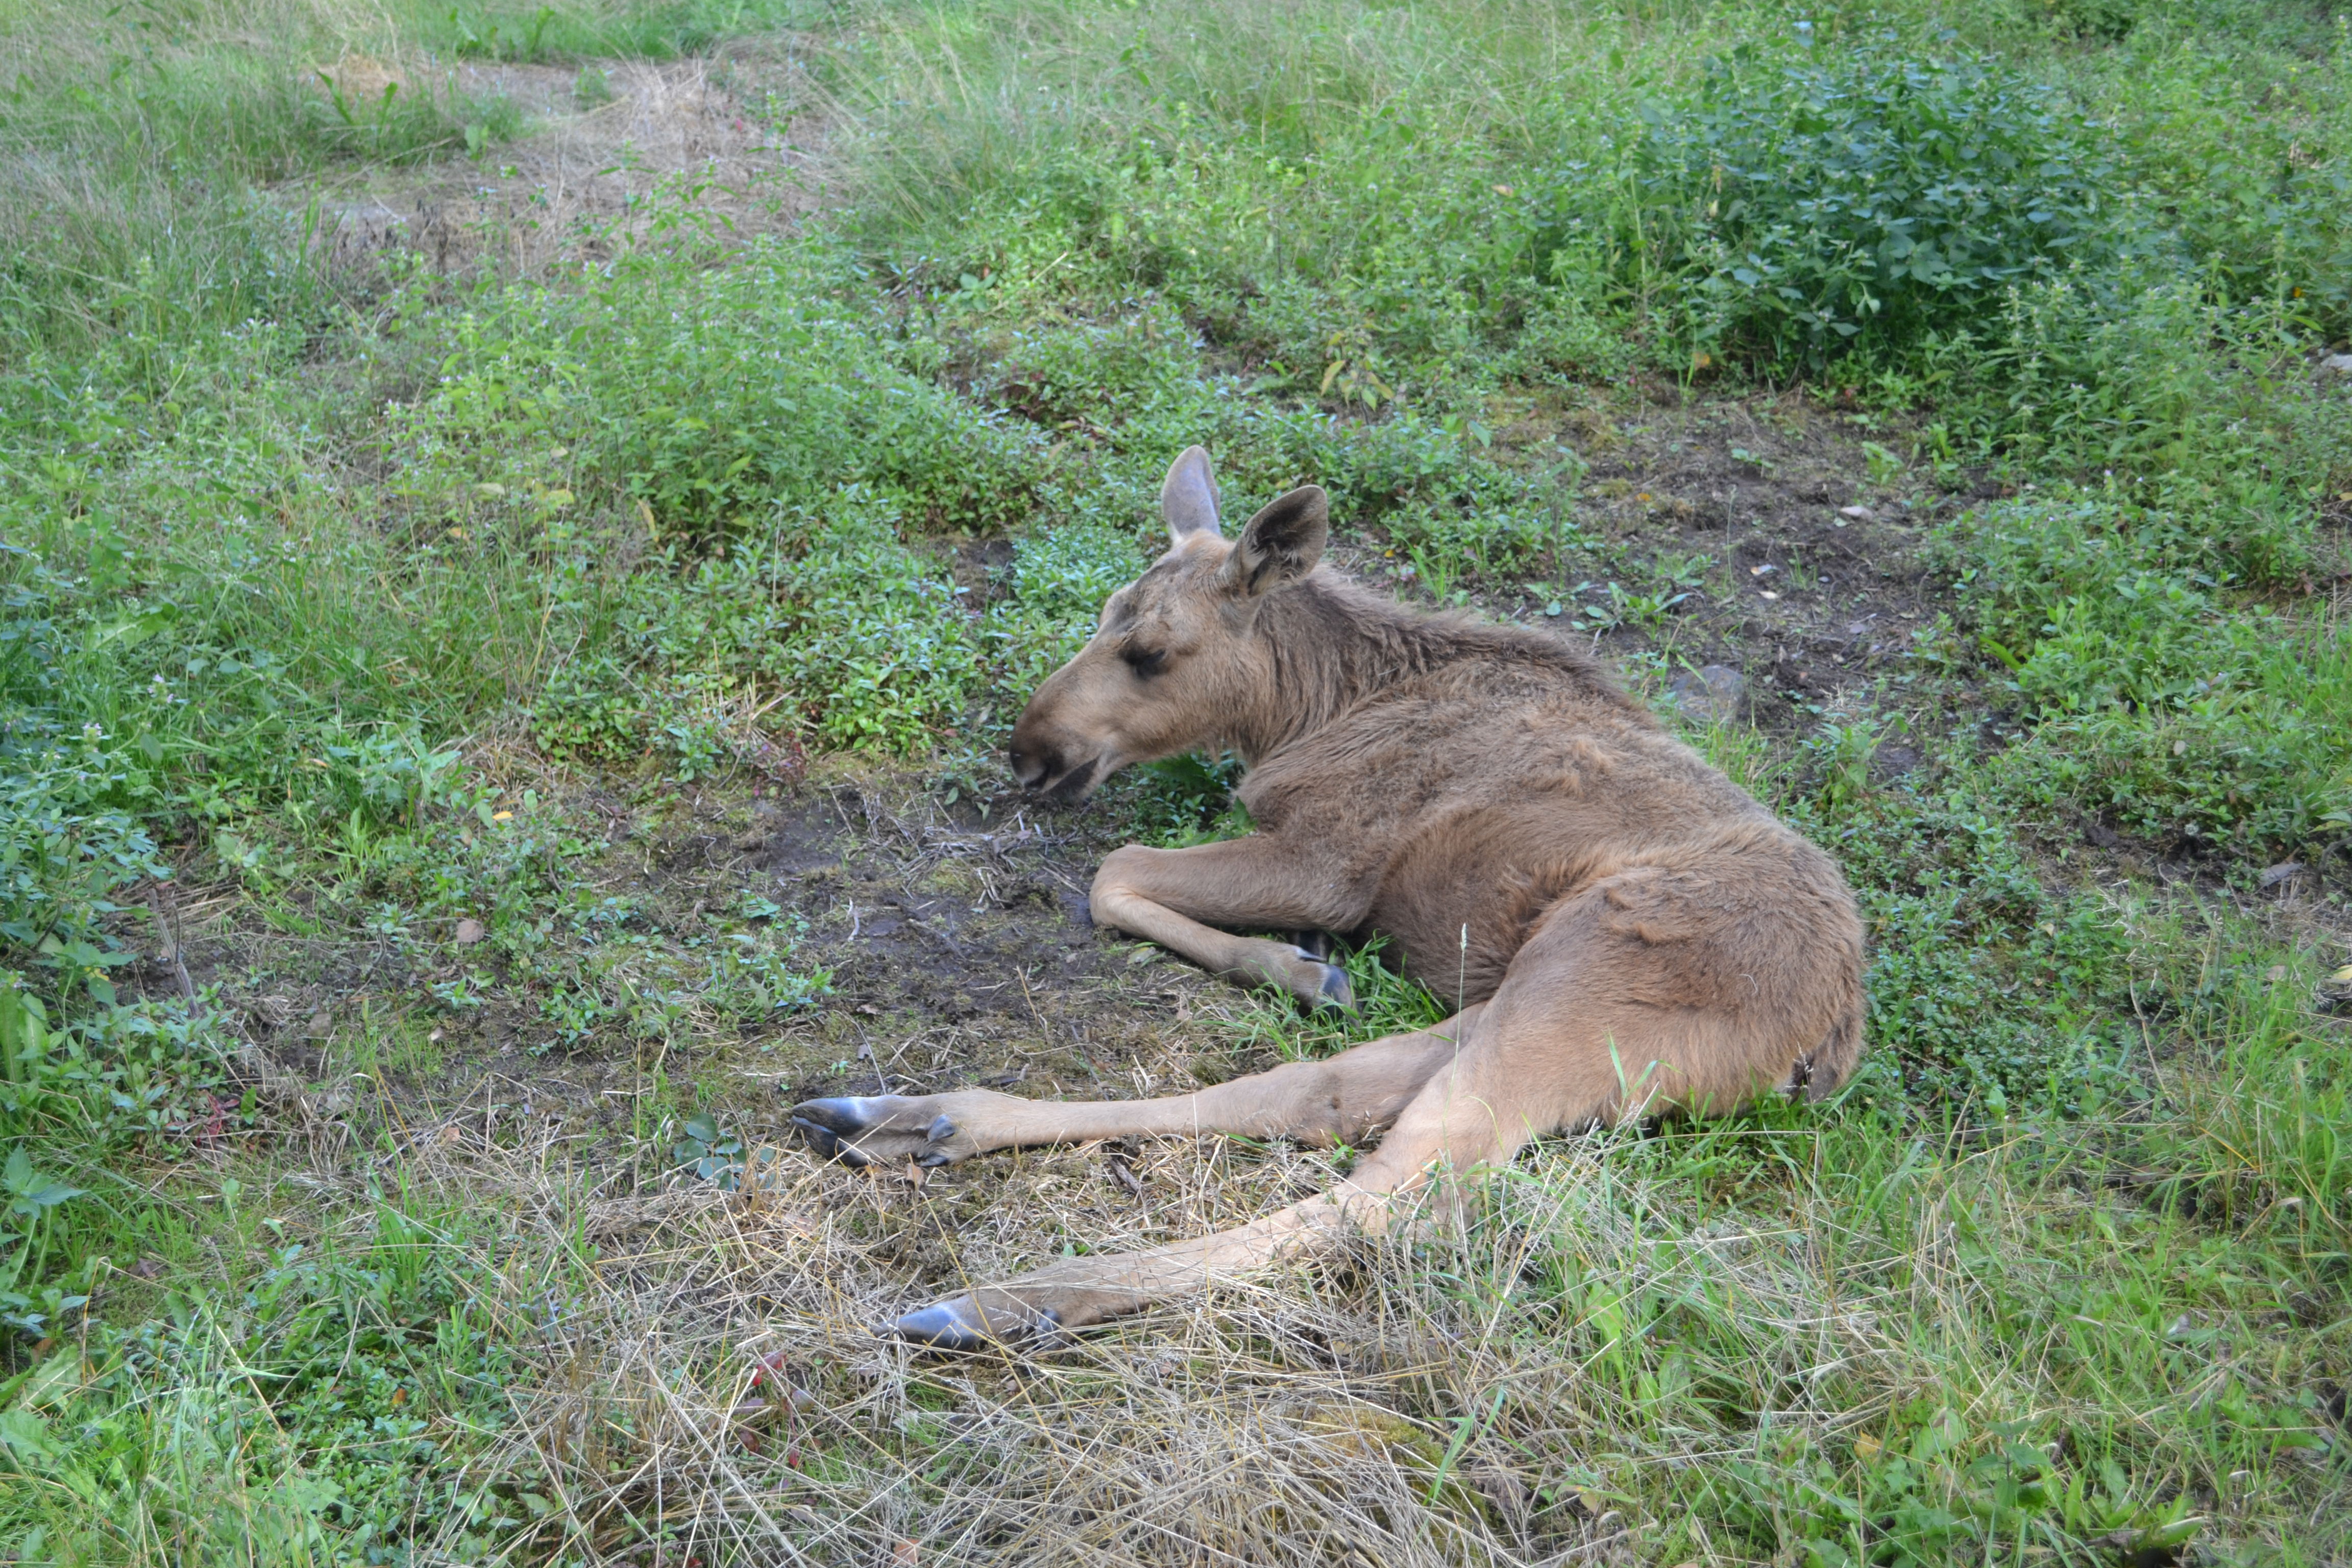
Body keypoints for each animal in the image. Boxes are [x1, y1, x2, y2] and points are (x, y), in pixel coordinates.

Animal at [799, 451, 1863, 1354]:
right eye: (1103, 616)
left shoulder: (1330, 862)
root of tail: (1828, 1043)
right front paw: (1300, 970)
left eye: (1149, 652)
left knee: (1389, 1194)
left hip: (1581, 983)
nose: (1028, 753)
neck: (1302, 706)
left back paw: (1010, 1297)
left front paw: (1289, 961)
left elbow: (1113, 873)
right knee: (1312, 1092)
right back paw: (914, 1118)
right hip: (1531, 1001)